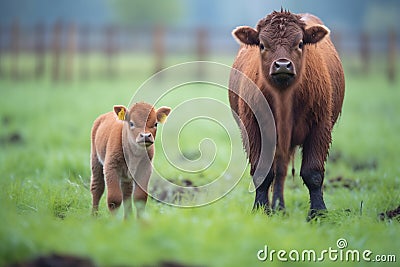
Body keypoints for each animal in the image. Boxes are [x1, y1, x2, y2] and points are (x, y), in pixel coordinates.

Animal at [230, 9, 346, 220]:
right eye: (262, 44)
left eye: (299, 43)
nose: (283, 65)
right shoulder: (254, 131)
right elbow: (262, 173)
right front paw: (261, 209)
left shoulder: (320, 128)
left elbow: (313, 173)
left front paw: (318, 213)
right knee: (279, 170)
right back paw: (278, 208)